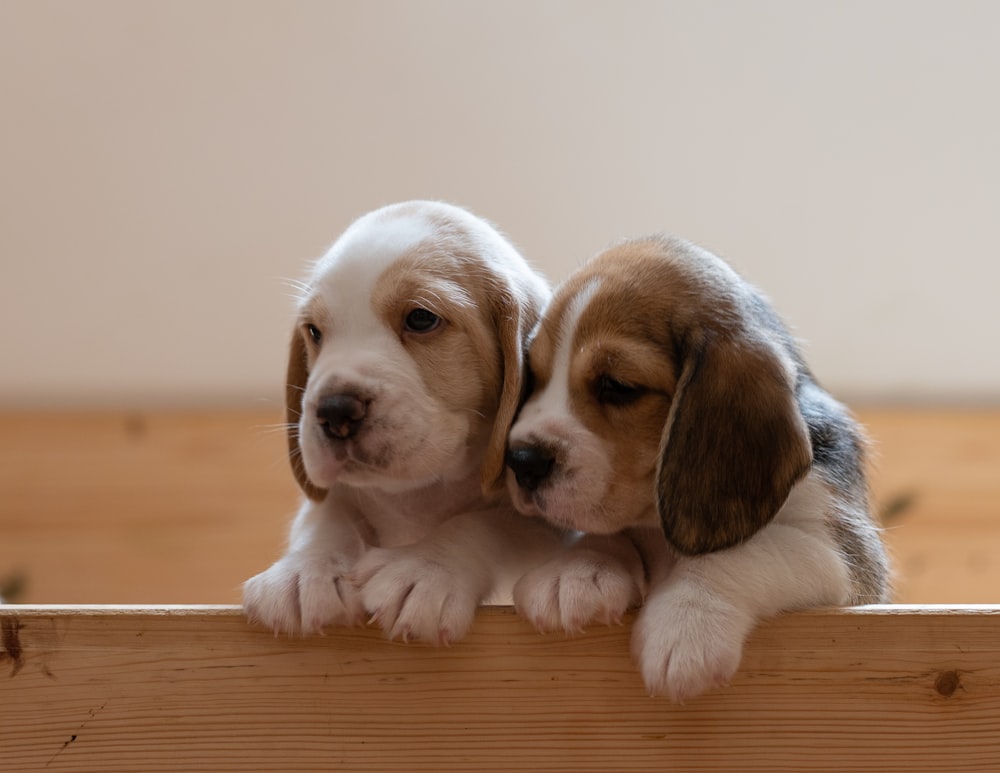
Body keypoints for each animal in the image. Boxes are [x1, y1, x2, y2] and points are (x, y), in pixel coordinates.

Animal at [243, 201, 568, 644]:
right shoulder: (337, 498)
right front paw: (306, 570)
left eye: (421, 319)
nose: (334, 409)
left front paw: (426, 567)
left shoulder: (545, 522)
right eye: (314, 331)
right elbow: (328, 516)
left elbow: (485, 522)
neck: (417, 495)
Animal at [504, 234, 888, 700]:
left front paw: (685, 621)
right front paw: (576, 571)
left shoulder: (842, 555)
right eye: (536, 375)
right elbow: (604, 533)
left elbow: (744, 552)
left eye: (617, 386)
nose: (521, 460)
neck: (659, 527)